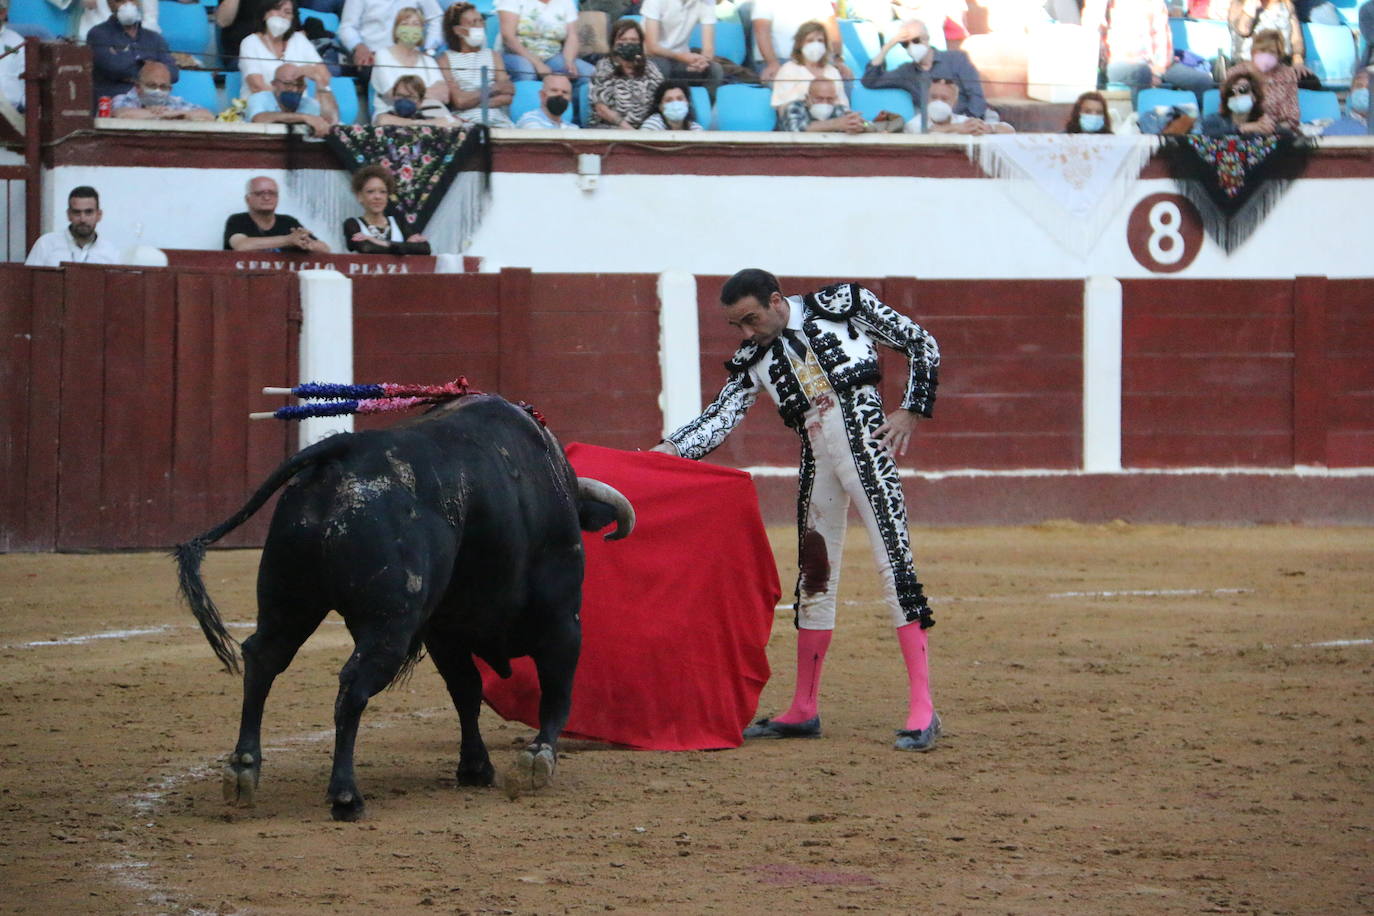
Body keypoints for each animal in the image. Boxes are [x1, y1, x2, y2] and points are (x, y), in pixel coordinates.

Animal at [173, 395, 637, 823]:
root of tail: (344, 452)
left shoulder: (444, 632)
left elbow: (466, 690)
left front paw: (475, 767)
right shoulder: (562, 617)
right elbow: (556, 689)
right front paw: (538, 759)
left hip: (288, 602)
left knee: (263, 659)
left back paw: (243, 771)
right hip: (388, 626)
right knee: (352, 685)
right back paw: (345, 795)